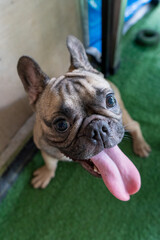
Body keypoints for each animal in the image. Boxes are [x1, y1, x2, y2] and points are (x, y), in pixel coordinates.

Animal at [16, 35, 151, 201]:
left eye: (110, 100)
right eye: (61, 125)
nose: (98, 128)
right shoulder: (45, 150)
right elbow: (50, 164)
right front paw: (46, 174)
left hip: (125, 121)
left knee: (136, 125)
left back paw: (140, 146)